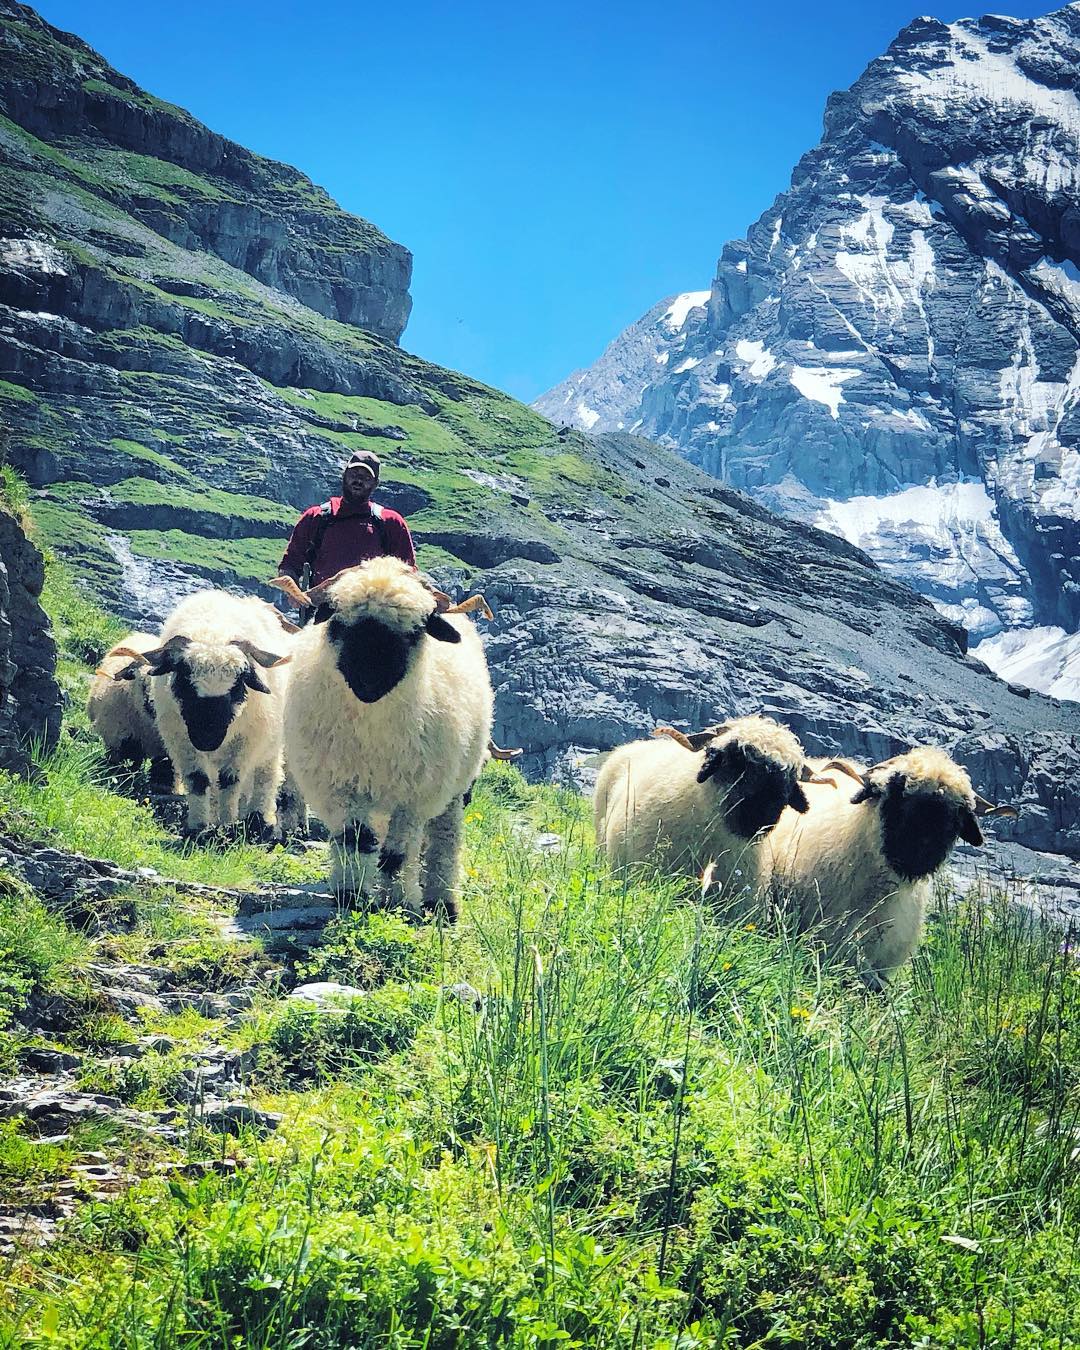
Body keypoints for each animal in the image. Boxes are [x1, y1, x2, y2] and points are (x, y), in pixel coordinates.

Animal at [109, 591, 291, 831]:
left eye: (238, 683)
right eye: (185, 678)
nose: (207, 739)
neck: (212, 632)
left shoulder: (245, 742)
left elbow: (230, 781)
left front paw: (227, 825)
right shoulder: (181, 739)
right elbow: (198, 779)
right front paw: (199, 827)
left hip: (269, 743)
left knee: (266, 776)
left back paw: (259, 820)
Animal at [278, 556, 496, 918]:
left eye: (414, 632)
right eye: (340, 624)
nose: (368, 683)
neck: (374, 733)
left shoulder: (415, 797)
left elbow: (397, 855)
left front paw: (397, 902)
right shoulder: (341, 786)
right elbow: (356, 840)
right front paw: (351, 895)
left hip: (453, 785)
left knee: (444, 837)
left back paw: (441, 902)